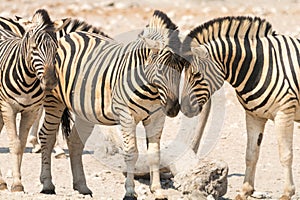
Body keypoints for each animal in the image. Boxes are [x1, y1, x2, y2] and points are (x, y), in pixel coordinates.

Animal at [0, 9, 58, 192]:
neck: (28, 79)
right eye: (34, 48)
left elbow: (22, 144)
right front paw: (17, 183)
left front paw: (17, 181)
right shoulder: (8, 107)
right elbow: (15, 144)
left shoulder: (30, 111)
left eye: (56, 49)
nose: (50, 82)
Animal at [37, 10, 183, 199]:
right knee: (46, 136)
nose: (173, 109)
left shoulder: (157, 117)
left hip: (85, 111)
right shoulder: (127, 116)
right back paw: (47, 184)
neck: (151, 90)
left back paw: (82, 186)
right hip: (54, 101)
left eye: (182, 68)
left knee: (74, 141)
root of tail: (65, 36)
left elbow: (155, 154)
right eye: (160, 69)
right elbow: (131, 153)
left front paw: (157, 190)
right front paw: (130, 191)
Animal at [179, 15, 300, 200]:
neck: (260, 67)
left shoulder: (284, 113)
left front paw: (287, 193)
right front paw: (245, 190)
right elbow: (251, 154)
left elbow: (285, 154)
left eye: (197, 75)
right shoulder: (254, 116)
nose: (185, 109)